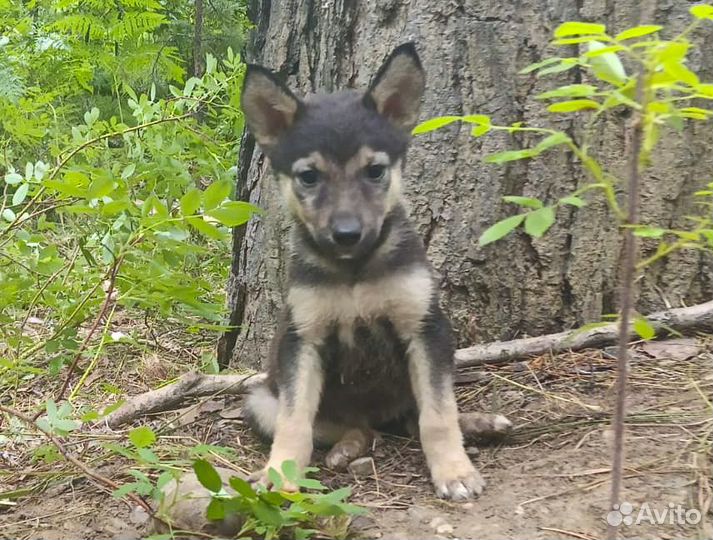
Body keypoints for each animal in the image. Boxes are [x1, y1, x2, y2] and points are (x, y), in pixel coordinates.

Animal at [242, 43, 508, 502]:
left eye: (375, 171)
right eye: (308, 177)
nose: (347, 234)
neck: (355, 272)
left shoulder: (426, 328)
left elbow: (438, 414)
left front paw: (454, 470)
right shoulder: (303, 339)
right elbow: (295, 423)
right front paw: (279, 474)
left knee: (415, 417)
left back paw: (479, 424)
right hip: (260, 400)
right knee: (350, 428)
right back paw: (348, 447)